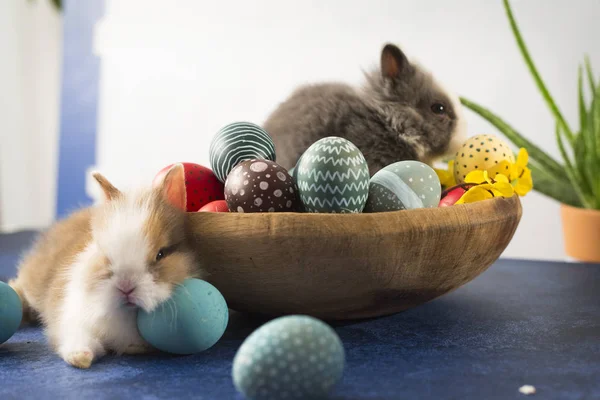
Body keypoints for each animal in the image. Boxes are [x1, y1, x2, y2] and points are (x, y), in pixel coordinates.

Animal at [8, 162, 202, 368]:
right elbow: (79, 338)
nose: (126, 287)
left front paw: (133, 348)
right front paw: (80, 358)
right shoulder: (72, 318)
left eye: (160, 254)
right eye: (104, 252)